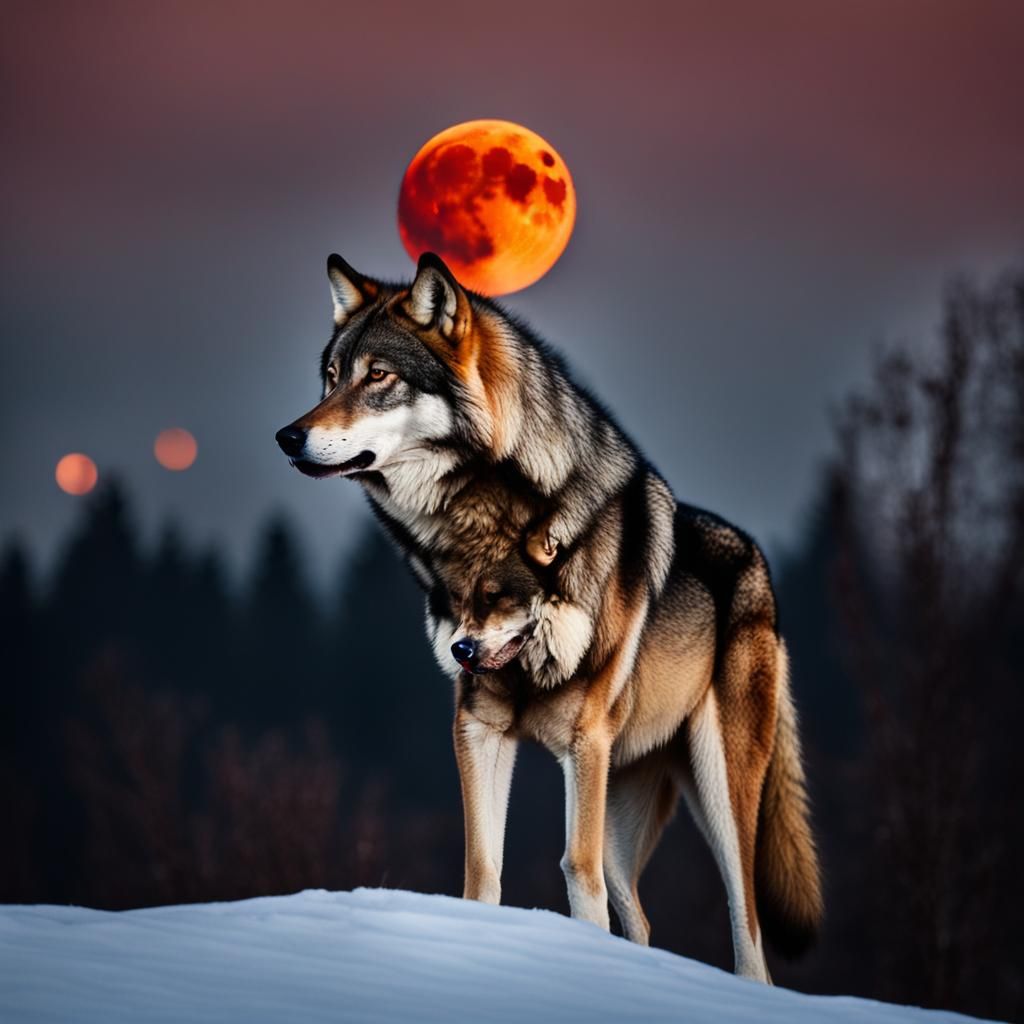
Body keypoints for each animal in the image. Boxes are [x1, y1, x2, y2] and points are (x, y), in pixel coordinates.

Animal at [275, 251, 823, 981]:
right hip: (626, 804)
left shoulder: (582, 741)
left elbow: (575, 873)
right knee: (642, 920)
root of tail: (759, 560)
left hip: (719, 796)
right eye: (331, 378)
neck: (480, 527)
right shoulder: (477, 726)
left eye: (379, 377)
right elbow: (483, 873)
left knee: (749, 934)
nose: (288, 436)